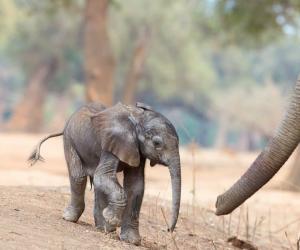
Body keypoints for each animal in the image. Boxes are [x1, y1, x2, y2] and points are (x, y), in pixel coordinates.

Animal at [29, 102, 182, 245]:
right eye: (157, 143)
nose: (168, 229)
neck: (138, 118)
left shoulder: (137, 149)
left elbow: (135, 185)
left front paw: (131, 241)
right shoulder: (114, 141)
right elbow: (103, 176)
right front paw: (111, 218)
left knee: (96, 184)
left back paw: (103, 228)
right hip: (70, 139)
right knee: (79, 177)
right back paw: (70, 218)